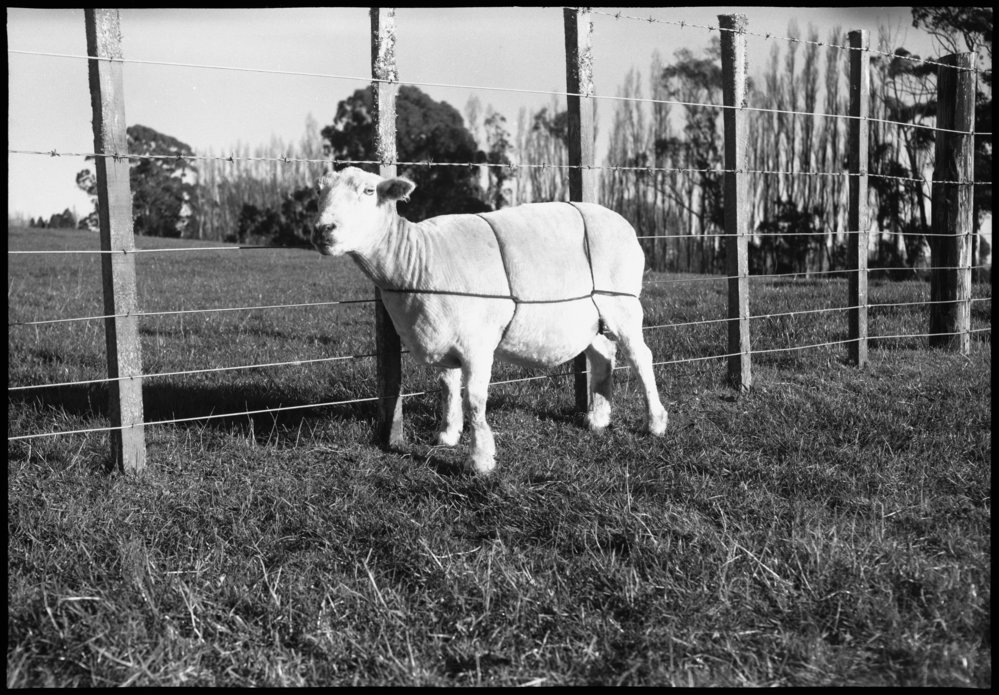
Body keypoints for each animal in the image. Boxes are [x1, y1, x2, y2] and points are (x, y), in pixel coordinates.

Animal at [313, 166, 668, 474]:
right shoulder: (444, 336)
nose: (322, 230)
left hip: (622, 302)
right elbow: (448, 388)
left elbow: (474, 400)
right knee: (604, 356)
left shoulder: (477, 344)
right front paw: (447, 435)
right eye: (320, 191)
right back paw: (598, 418)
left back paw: (655, 422)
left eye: (368, 191)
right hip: (590, 316)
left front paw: (480, 459)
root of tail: (620, 221)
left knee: (641, 357)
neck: (417, 259)